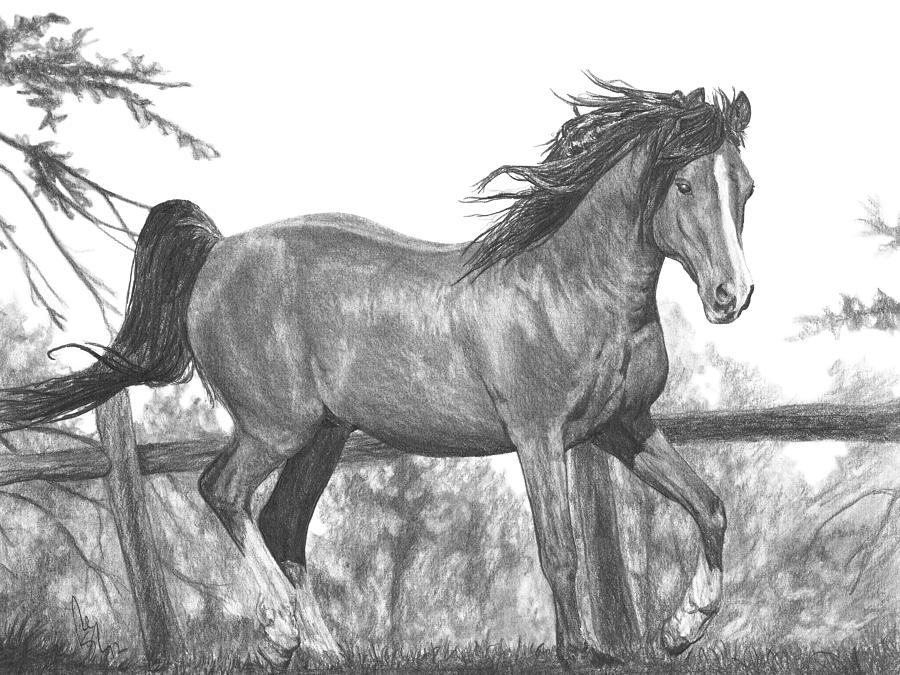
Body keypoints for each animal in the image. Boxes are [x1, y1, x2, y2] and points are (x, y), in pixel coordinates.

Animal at [0, 76, 754, 666]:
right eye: (684, 182)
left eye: (745, 187)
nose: (732, 296)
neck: (568, 287)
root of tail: (218, 250)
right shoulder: (540, 437)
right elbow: (561, 547)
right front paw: (584, 651)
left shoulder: (624, 426)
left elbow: (709, 505)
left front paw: (682, 628)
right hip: (277, 427)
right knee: (223, 491)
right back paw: (279, 630)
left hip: (324, 436)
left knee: (280, 523)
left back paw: (324, 649)